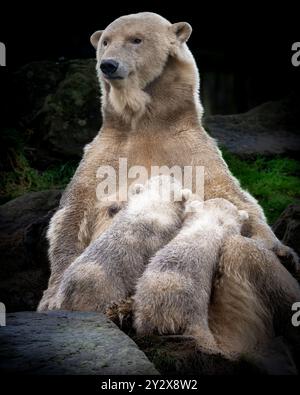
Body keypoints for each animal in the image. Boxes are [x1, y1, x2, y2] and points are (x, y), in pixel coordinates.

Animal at [38, 12, 298, 358]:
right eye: (105, 41)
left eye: (136, 39)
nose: (108, 65)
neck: (146, 123)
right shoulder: (104, 152)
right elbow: (73, 212)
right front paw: (52, 297)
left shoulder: (192, 149)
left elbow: (234, 196)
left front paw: (283, 249)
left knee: (243, 252)